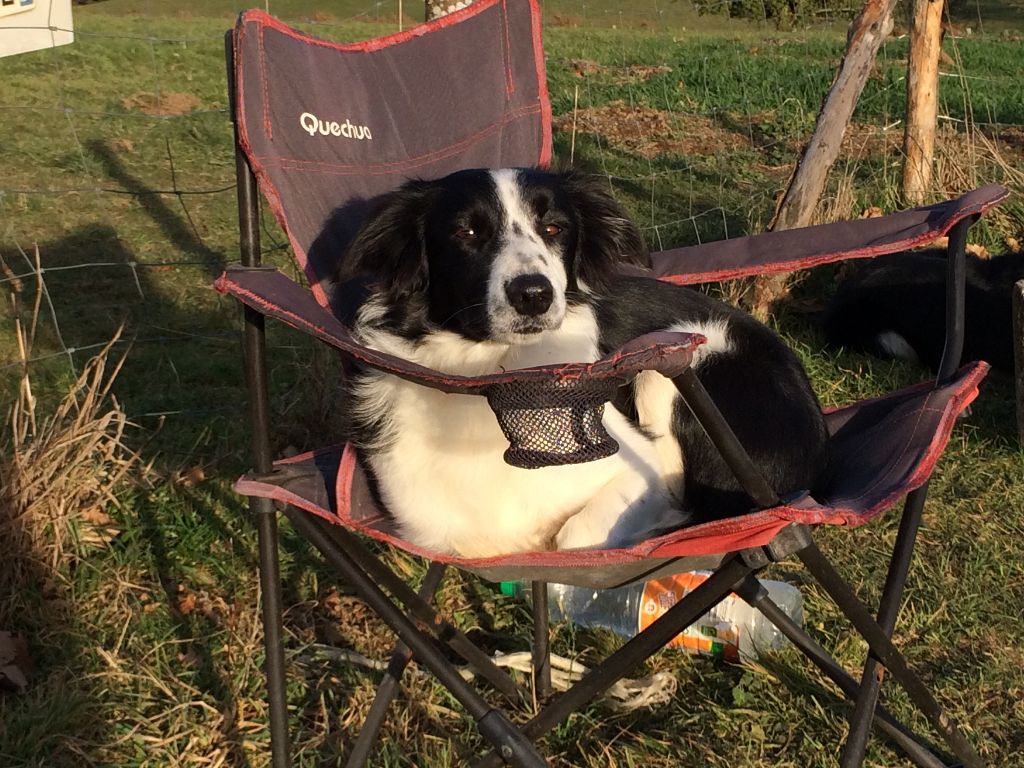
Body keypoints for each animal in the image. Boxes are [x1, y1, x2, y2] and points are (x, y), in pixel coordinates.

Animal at [332, 168, 829, 558]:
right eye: (467, 233)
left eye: (554, 229)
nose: (533, 294)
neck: (495, 380)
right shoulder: (433, 527)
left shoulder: (639, 473)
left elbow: (575, 535)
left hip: (677, 366)